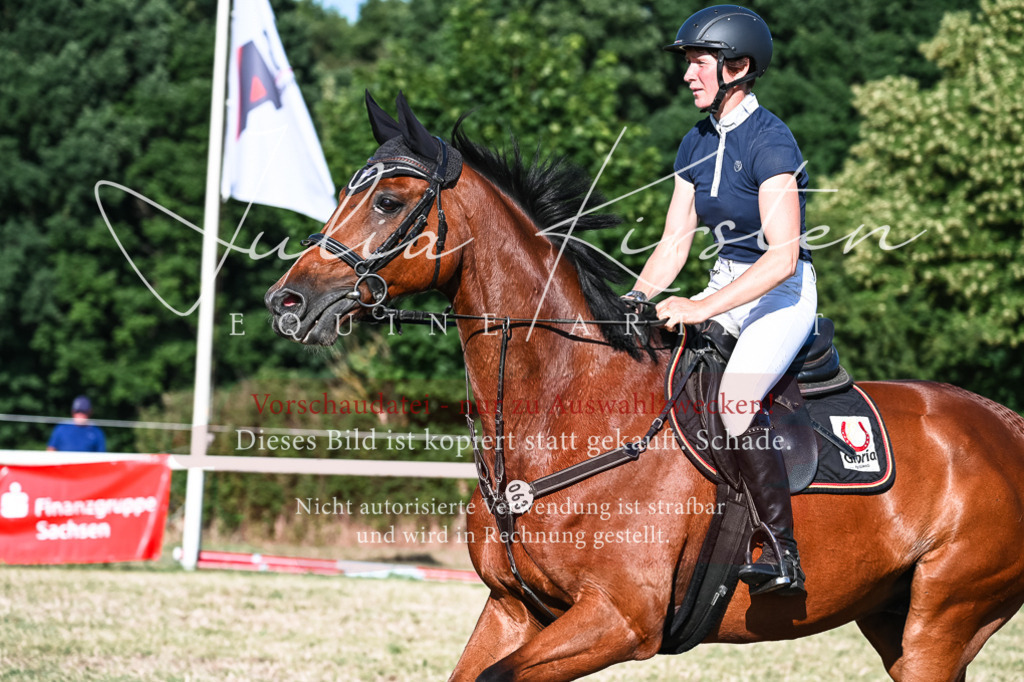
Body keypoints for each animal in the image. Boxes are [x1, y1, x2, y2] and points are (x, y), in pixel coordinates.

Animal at [265, 93, 1024, 681]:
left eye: (389, 201)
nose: (288, 302)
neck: (565, 407)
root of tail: (1006, 423)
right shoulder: (514, 608)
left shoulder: (619, 619)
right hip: (894, 618)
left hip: (943, 617)